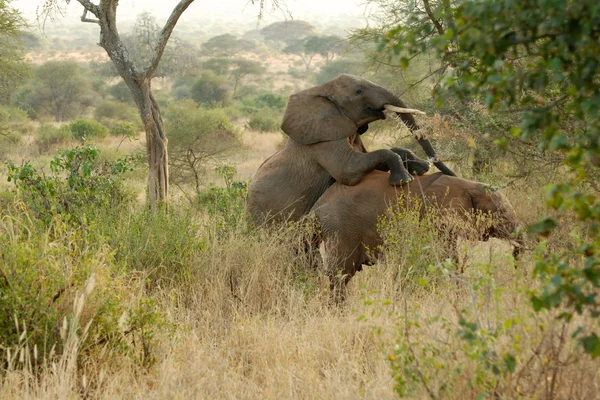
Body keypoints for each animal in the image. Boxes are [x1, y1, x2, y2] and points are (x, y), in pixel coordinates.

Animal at [246, 74, 452, 225]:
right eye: (359, 91)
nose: (433, 162)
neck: (323, 89)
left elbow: (370, 157)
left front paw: (418, 166)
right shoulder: (324, 141)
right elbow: (349, 170)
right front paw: (404, 180)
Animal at [310, 170, 520, 296]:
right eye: (500, 213)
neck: (468, 185)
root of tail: (317, 205)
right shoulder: (434, 219)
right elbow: (444, 258)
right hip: (341, 230)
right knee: (340, 275)